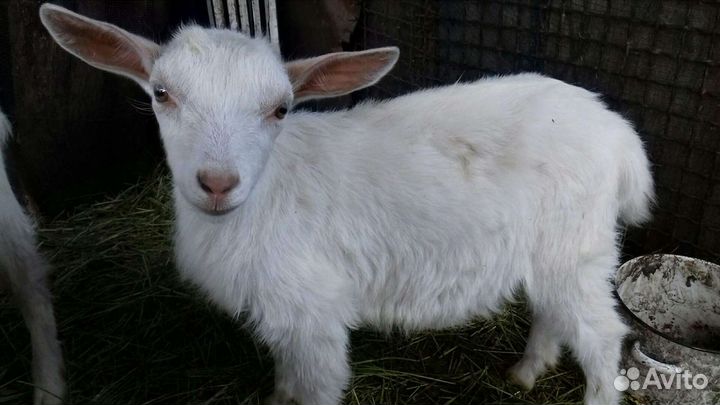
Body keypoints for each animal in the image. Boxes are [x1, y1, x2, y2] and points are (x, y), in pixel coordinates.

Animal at [40, 4, 654, 405]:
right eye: (162, 94)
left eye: (280, 109)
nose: (216, 182)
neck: (267, 196)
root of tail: (620, 134)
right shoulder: (285, 318)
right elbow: (286, 377)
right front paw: (276, 398)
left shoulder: (315, 312)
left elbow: (317, 386)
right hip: (556, 252)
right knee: (553, 311)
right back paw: (525, 373)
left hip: (577, 248)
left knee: (602, 335)